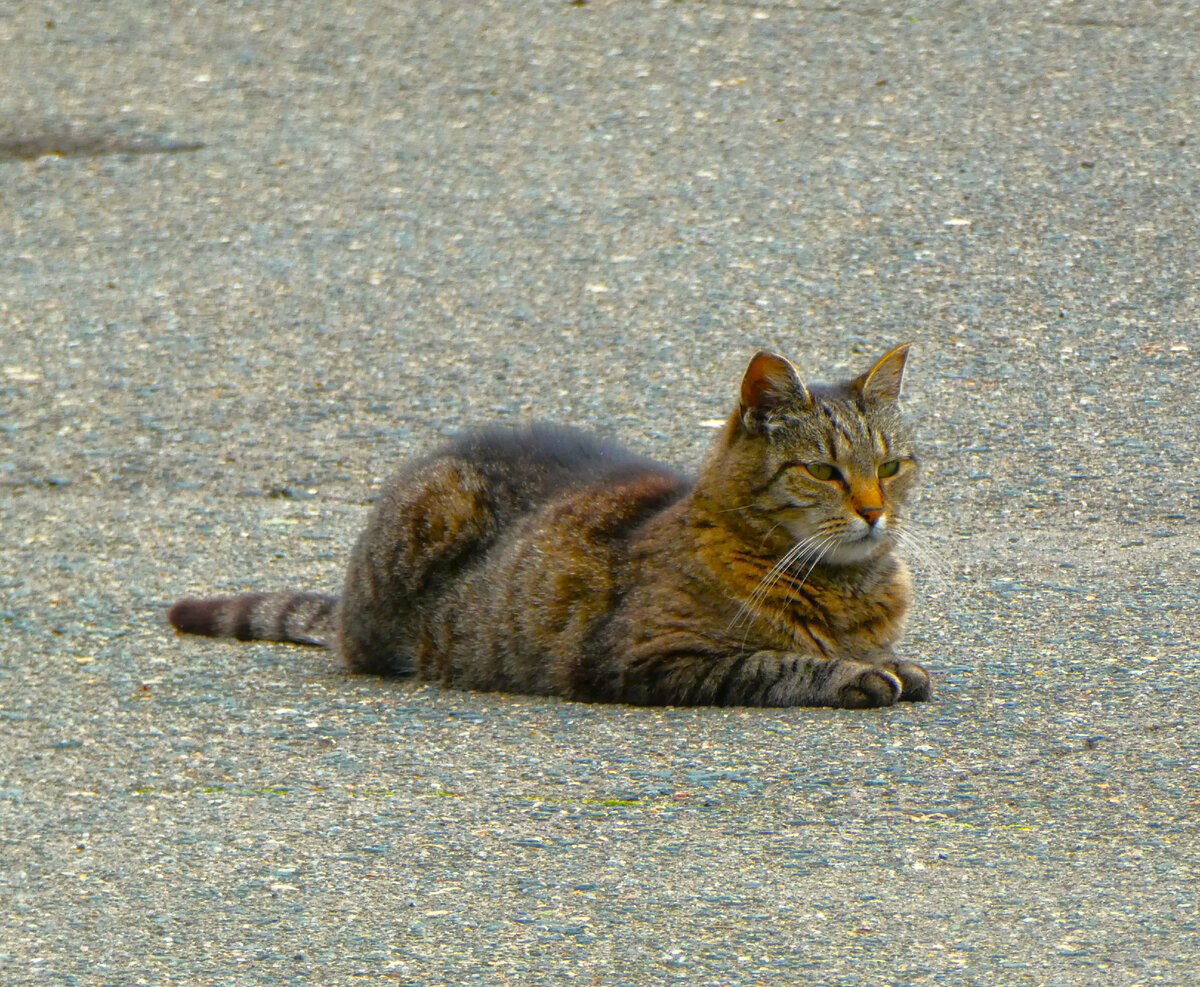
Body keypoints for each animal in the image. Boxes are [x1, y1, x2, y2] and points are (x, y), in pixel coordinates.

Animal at [169, 348, 931, 710]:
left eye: (890, 467)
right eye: (825, 472)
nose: (874, 512)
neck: (845, 585)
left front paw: (891, 662)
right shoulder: (652, 658)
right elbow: (777, 661)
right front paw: (857, 674)